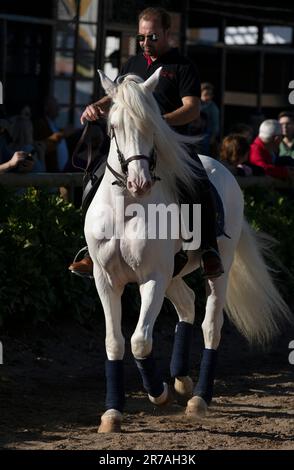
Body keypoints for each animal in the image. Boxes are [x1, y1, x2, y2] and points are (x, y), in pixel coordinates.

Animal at [84, 67, 292, 434]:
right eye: (114, 127)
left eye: (152, 127)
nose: (139, 183)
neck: (126, 209)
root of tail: (220, 167)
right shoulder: (106, 280)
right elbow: (115, 342)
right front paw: (112, 413)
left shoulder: (152, 277)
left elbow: (140, 341)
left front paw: (159, 393)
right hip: (173, 275)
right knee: (185, 304)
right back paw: (181, 380)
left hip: (217, 268)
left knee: (211, 325)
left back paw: (198, 399)